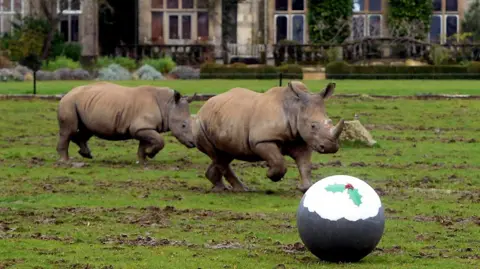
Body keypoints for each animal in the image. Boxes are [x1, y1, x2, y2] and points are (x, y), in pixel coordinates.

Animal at [57, 80, 196, 162]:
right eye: (183, 125)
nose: (193, 143)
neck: (168, 105)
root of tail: (67, 93)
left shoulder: (144, 127)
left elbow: (143, 144)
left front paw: (143, 161)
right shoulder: (141, 127)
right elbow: (160, 140)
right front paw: (150, 154)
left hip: (85, 104)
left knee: (86, 130)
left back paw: (86, 154)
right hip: (69, 102)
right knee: (69, 130)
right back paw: (66, 162)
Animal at [191, 80, 344, 192]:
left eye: (330, 122)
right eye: (313, 126)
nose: (330, 147)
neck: (294, 109)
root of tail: (204, 106)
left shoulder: (301, 139)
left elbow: (305, 164)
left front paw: (305, 188)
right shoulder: (261, 140)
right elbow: (278, 161)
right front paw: (271, 175)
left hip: (224, 118)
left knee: (224, 155)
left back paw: (227, 188)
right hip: (200, 124)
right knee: (218, 156)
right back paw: (235, 190)